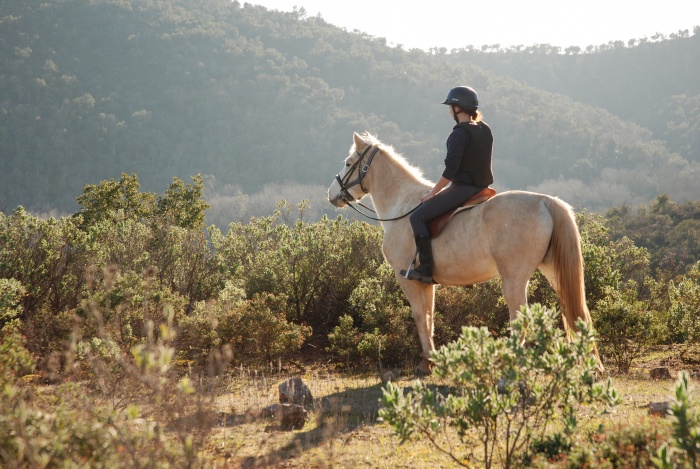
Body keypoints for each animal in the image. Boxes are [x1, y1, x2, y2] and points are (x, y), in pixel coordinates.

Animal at [330, 132, 600, 372]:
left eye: (348, 163)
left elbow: (419, 317)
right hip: (553, 272)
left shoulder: (406, 279)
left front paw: (426, 363)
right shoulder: (427, 282)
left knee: (519, 317)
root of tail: (544, 200)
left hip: (514, 279)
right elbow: (429, 317)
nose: (332, 194)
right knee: (575, 311)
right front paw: (432, 359)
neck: (403, 206)